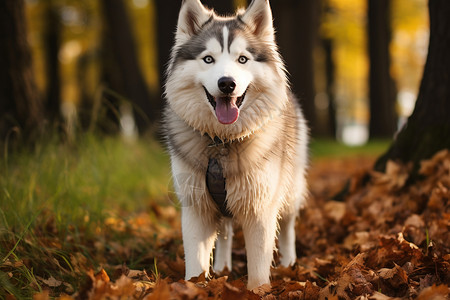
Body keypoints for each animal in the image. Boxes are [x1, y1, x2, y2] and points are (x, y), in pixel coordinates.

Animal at [163, 0, 308, 290]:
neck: (221, 142)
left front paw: (257, 290)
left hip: (290, 188)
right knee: (226, 233)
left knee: (288, 225)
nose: (227, 84)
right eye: (208, 59)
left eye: (242, 59)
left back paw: (289, 263)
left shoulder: (261, 207)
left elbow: (259, 265)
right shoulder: (196, 206)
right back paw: (222, 266)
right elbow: (196, 260)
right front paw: (193, 287)